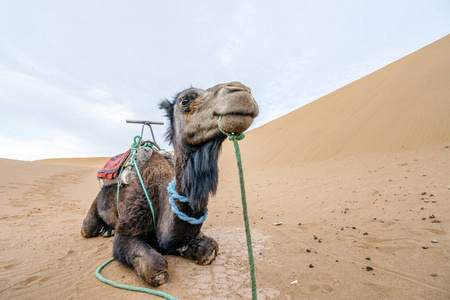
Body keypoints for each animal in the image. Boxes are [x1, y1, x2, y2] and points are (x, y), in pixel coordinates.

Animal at [79, 81, 258, 286]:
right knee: (87, 229)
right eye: (185, 100)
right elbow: (155, 267)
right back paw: (104, 230)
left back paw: (107, 230)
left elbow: (209, 248)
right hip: (94, 208)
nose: (241, 91)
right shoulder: (126, 231)